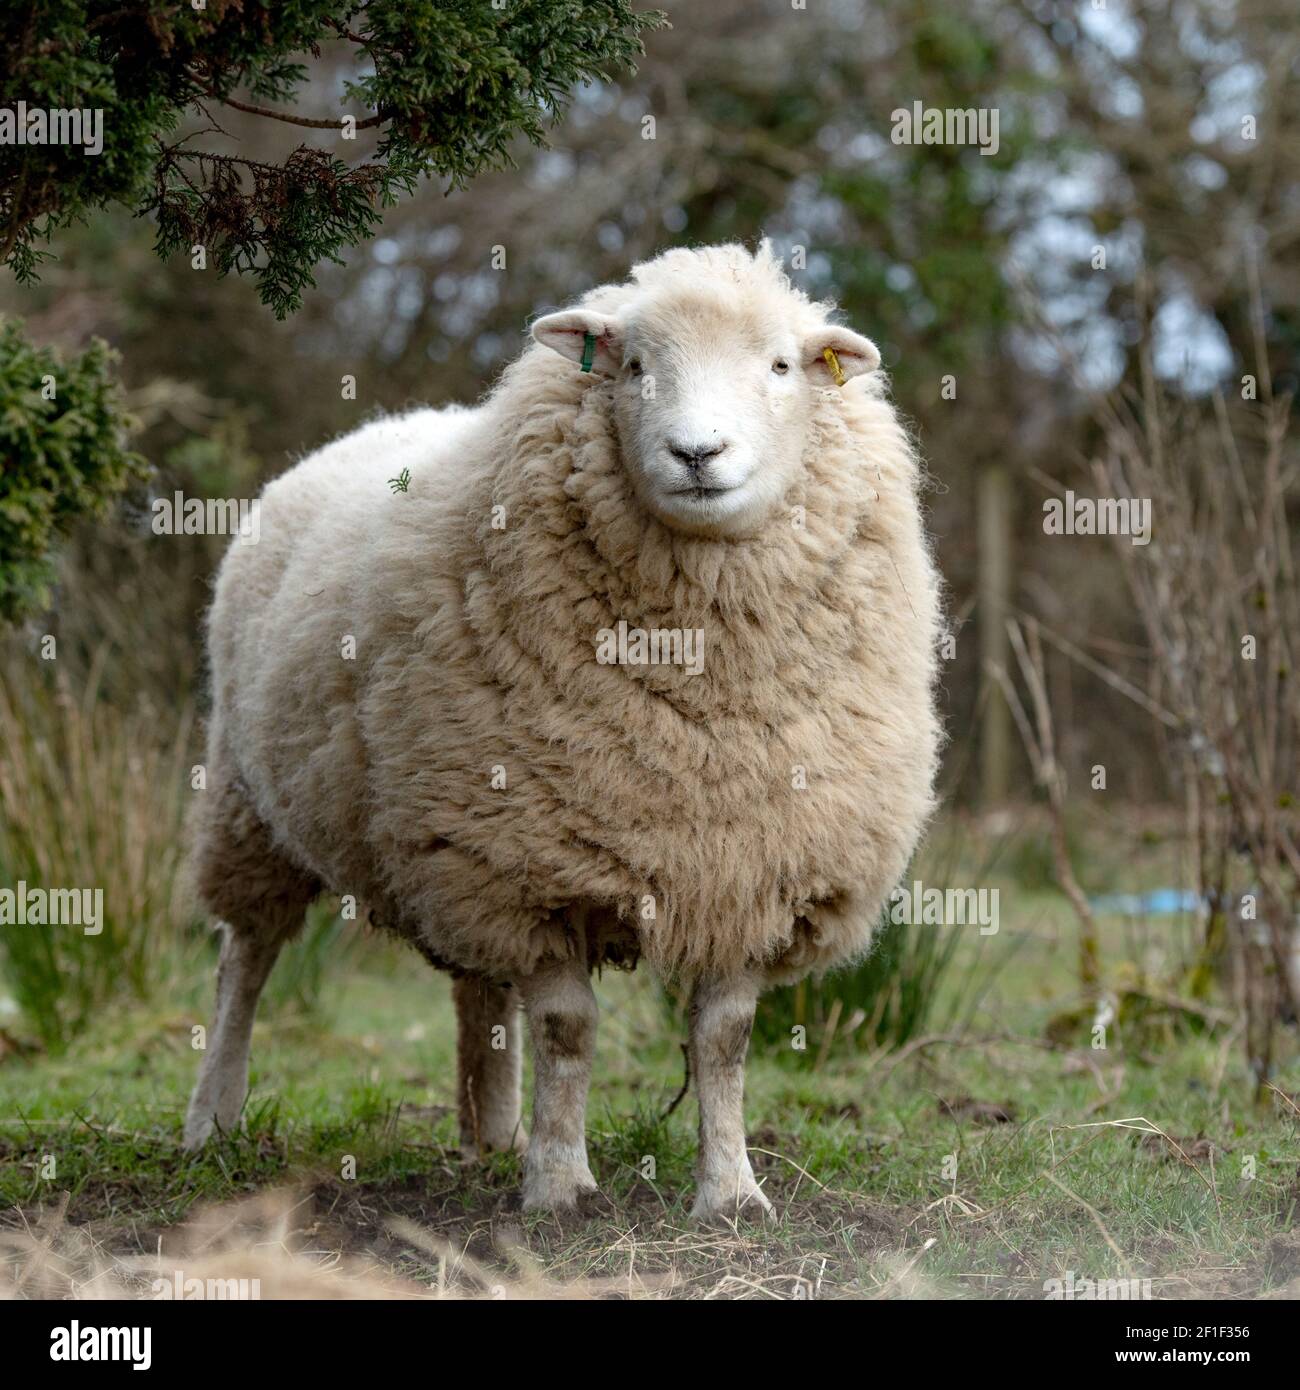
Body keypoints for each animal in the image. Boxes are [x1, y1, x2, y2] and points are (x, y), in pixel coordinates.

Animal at [183, 241, 943, 1221]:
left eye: (780, 367)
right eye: (633, 366)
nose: (698, 453)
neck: (698, 688)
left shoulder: (752, 862)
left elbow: (725, 1039)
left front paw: (732, 1194)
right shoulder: (528, 867)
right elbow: (567, 1029)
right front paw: (559, 1186)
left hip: (449, 832)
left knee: (477, 992)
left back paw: (491, 1134)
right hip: (265, 808)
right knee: (244, 962)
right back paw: (213, 1120)